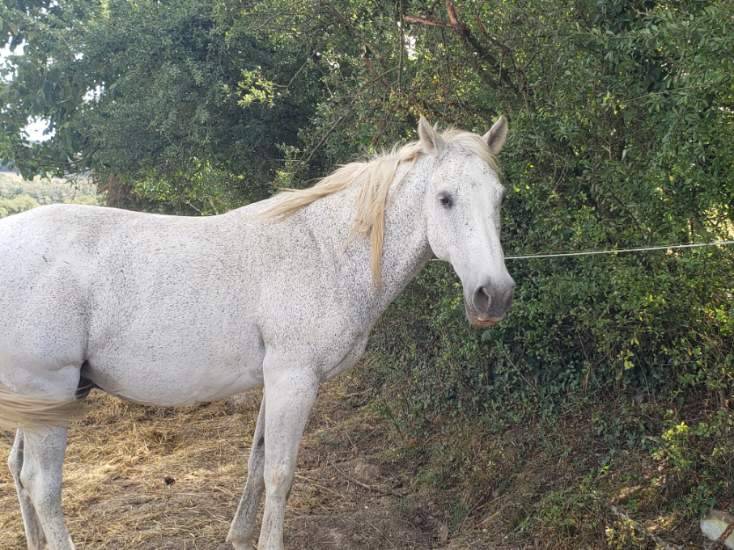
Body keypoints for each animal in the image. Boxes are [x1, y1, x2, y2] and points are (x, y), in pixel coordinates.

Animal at [0, 116, 514, 550]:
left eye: (499, 198)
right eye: (445, 198)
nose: (495, 295)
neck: (324, 252)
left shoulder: (276, 379)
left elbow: (257, 461)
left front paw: (240, 535)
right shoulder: (295, 379)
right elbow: (280, 473)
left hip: (49, 396)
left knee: (20, 472)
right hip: (50, 389)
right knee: (42, 485)